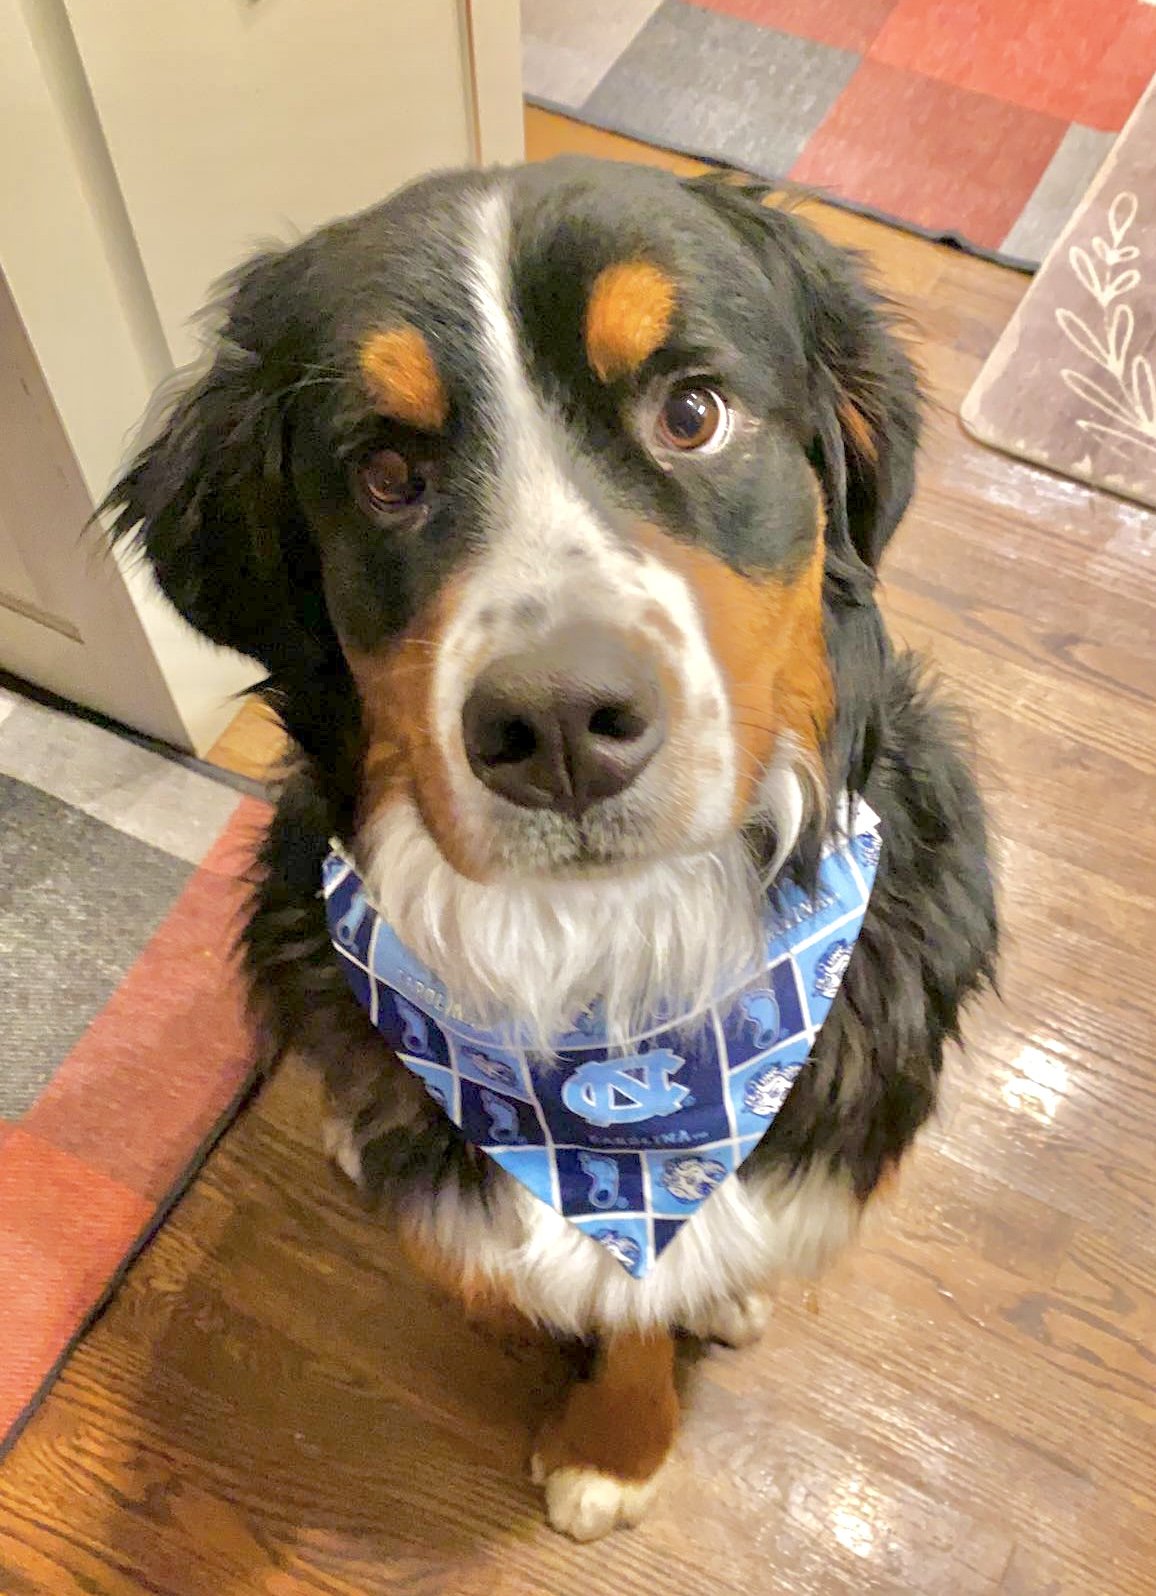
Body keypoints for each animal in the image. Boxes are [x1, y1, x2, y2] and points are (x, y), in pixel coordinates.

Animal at [103, 155, 996, 1538]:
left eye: (692, 411)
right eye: (384, 472)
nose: (561, 725)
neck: (603, 967)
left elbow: (658, 1286)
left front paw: (625, 1429)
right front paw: (603, 1417)